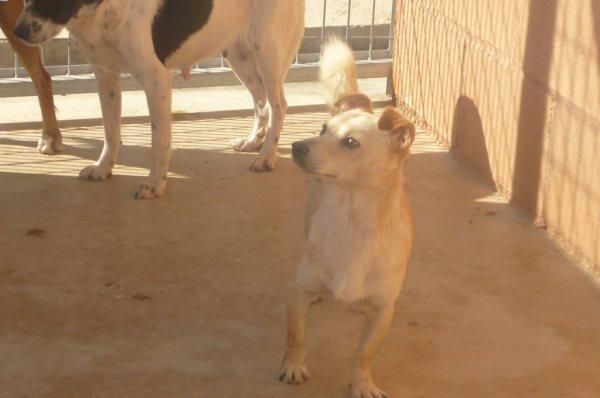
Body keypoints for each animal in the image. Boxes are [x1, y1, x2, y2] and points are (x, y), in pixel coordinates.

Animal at [15, 0, 304, 199]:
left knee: (278, 105)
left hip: (267, 52)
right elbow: (111, 133)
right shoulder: (106, 76)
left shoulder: (157, 80)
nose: (17, 32)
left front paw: (155, 184)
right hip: (238, 54)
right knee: (261, 102)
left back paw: (266, 156)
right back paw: (253, 142)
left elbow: (159, 142)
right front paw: (102, 170)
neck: (100, 12)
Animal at [280, 38, 412, 398]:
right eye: (323, 129)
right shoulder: (297, 292)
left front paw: (362, 383)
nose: (296, 146)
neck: (350, 218)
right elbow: (296, 335)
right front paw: (294, 365)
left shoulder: (382, 312)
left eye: (351, 142)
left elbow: (364, 354)